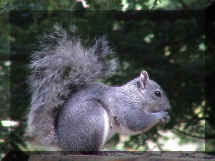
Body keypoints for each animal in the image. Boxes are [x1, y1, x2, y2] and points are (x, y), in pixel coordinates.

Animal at [26, 28, 171, 151]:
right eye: (157, 93)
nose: (168, 108)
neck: (135, 96)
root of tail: (64, 143)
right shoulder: (125, 106)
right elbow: (136, 121)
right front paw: (161, 115)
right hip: (93, 118)